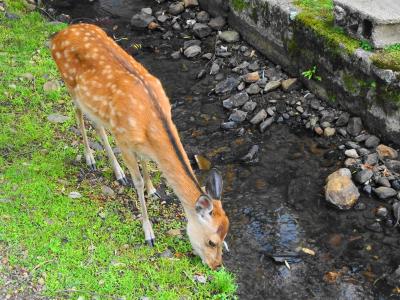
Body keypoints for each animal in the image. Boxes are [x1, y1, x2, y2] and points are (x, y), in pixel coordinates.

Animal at [49, 24, 230, 270]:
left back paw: (118, 173)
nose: (216, 265)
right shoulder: (124, 140)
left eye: (225, 237)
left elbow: (145, 163)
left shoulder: (139, 143)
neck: (149, 122)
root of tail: (58, 35)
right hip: (70, 84)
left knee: (98, 125)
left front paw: (153, 191)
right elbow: (137, 181)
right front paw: (149, 234)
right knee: (78, 113)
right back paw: (91, 159)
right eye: (212, 241)